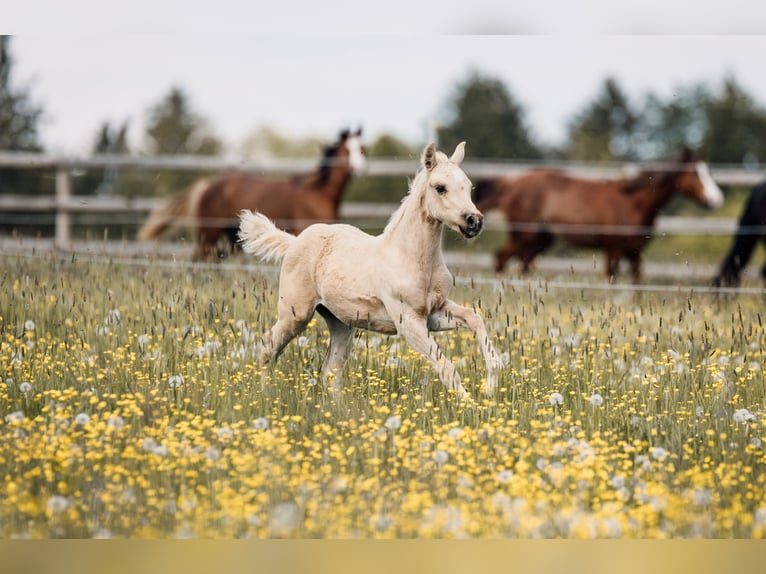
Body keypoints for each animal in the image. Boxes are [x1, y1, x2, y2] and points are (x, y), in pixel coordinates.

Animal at [138, 128, 366, 259]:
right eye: (347, 150)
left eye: (363, 148)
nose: (360, 169)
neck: (318, 193)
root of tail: (208, 184)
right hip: (209, 234)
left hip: (231, 235)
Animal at [238, 142, 502, 399]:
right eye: (440, 188)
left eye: (468, 186)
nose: (474, 221)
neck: (410, 259)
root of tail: (293, 242)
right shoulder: (408, 322)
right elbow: (447, 367)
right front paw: (469, 406)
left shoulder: (434, 313)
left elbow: (474, 318)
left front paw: (490, 386)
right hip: (295, 314)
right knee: (268, 349)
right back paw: (266, 396)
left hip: (341, 323)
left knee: (331, 373)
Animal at [473, 149, 724, 282]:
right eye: (694, 174)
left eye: (709, 171)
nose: (716, 200)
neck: (633, 203)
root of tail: (511, 183)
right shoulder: (613, 250)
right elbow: (610, 279)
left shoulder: (635, 253)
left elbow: (637, 284)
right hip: (523, 236)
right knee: (501, 259)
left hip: (538, 241)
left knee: (521, 265)